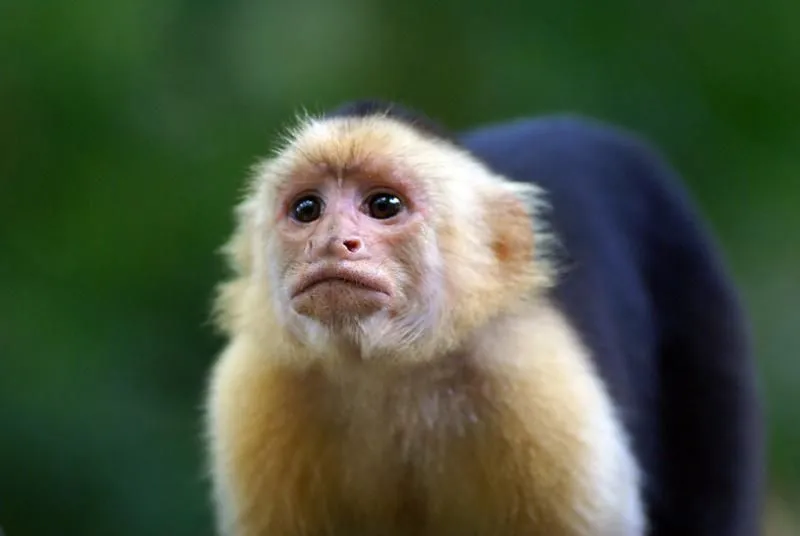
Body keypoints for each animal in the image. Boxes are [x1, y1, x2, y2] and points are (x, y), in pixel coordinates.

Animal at [204, 99, 764, 536]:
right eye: (307, 210)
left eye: (383, 205)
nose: (331, 242)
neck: (390, 371)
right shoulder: (256, 391)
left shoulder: (535, 386)